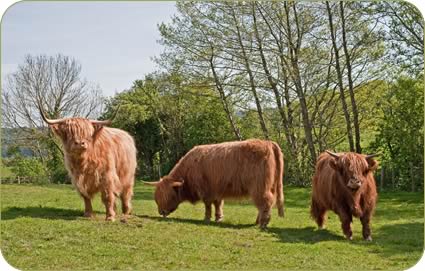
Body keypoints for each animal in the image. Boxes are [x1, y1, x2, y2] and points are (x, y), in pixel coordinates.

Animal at [144, 139, 284, 228]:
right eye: (157, 197)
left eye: (168, 195)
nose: (161, 212)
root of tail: (268, 142)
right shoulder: (217, 189)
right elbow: (217, 204)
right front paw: (218, 218)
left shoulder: (206, 190)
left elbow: (207, 205)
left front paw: (207, 218)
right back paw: (258, 221)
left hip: (259, 187)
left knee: (265, 202)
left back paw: (263, 223)